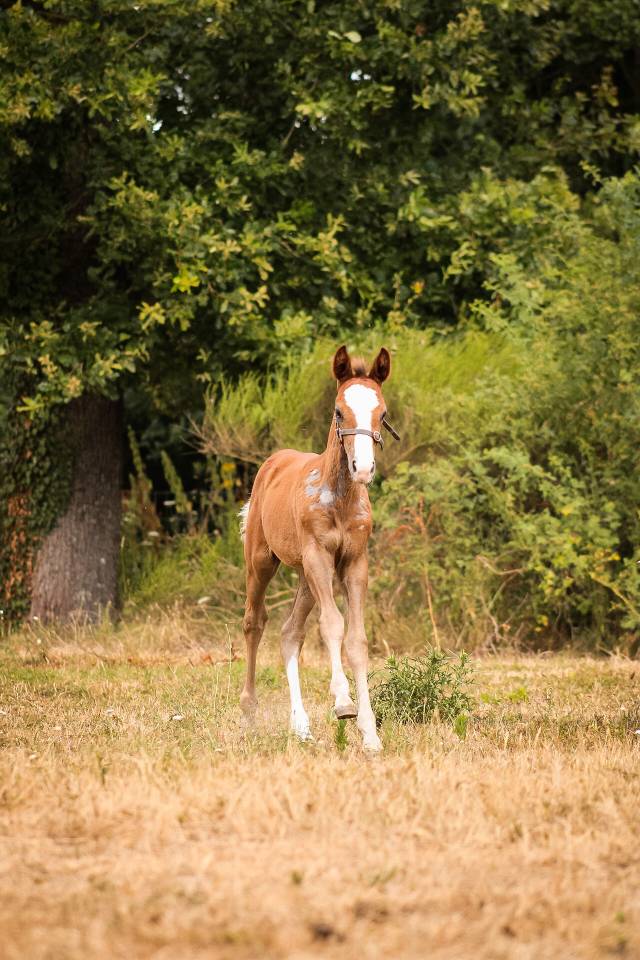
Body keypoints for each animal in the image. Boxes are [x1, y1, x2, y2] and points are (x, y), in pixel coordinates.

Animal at [238, 345, 399, 752]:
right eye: (339, 411)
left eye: (382, 413)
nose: (363, 468)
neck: (338, 499)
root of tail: (273, 462)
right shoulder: (318, 557)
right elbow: (332, 625)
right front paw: (342, 703)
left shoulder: (355, 563)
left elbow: (356, 639)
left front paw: (370, 733)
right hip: (263, 561)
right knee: (254, 622)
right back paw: (248, 712)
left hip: (306, 577)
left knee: (289, 633)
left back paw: (301, 727)